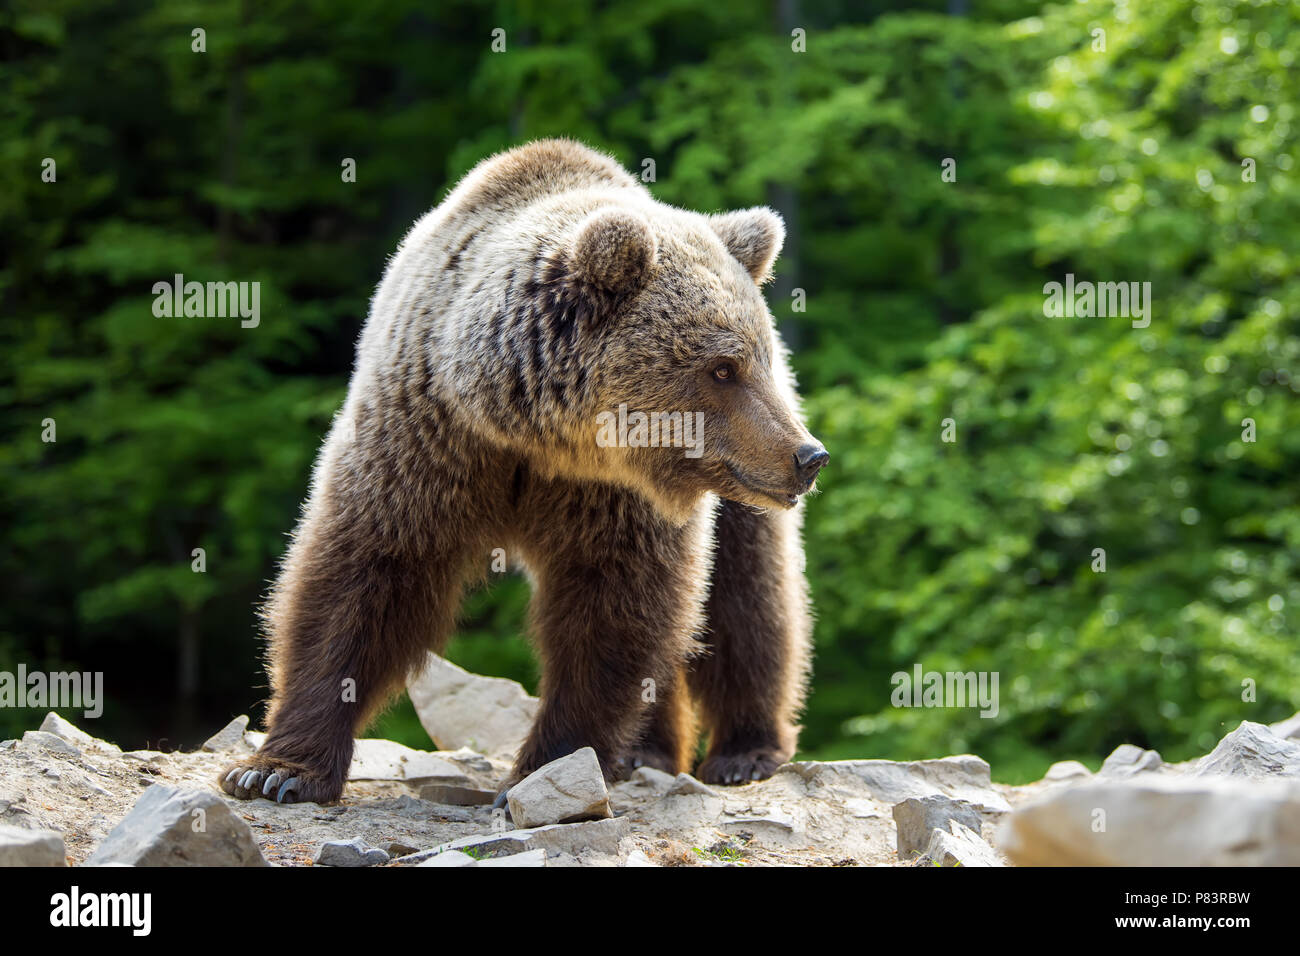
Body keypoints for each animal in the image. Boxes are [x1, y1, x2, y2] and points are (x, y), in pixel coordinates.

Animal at [218, 138, 826, 806]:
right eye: (722, 368)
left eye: (755, 358)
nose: (808, 456)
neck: (531, 434)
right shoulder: (425, 439)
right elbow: (363, 576)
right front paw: (277, 770)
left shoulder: (613, 496)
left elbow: (615, 605)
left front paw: (549, 764)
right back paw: (647, 749)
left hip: (738, 497)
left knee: (749, 594)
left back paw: (744, 750)